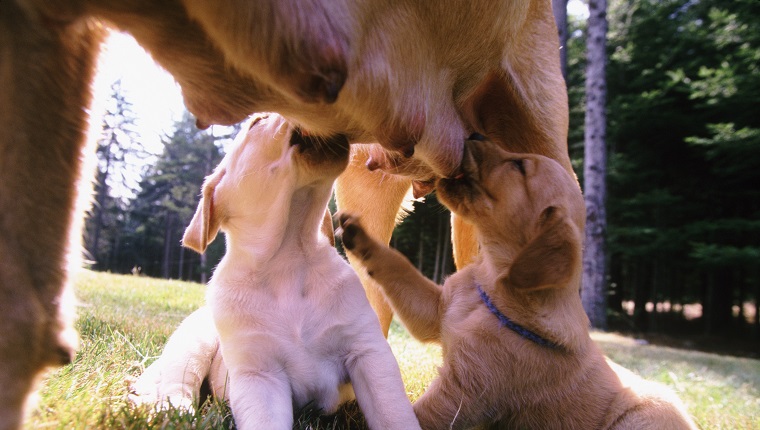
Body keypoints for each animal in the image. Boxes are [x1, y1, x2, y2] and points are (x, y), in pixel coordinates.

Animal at [0, 0, 568, 424]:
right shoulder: (260, 379)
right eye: (255, 125)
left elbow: (391, 408)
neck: (288, 255)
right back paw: (162, 402)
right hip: (198, 336)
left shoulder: (367, 358)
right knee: (175, 381)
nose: (282, 110)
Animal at [338, 139, 700, 430]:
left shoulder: (462, 391)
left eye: (519, 165)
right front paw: (358, 235)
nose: (472, 134)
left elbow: (411, 417)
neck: (491, 288)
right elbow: (398, 266)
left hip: (645, 417)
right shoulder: (436, 310)